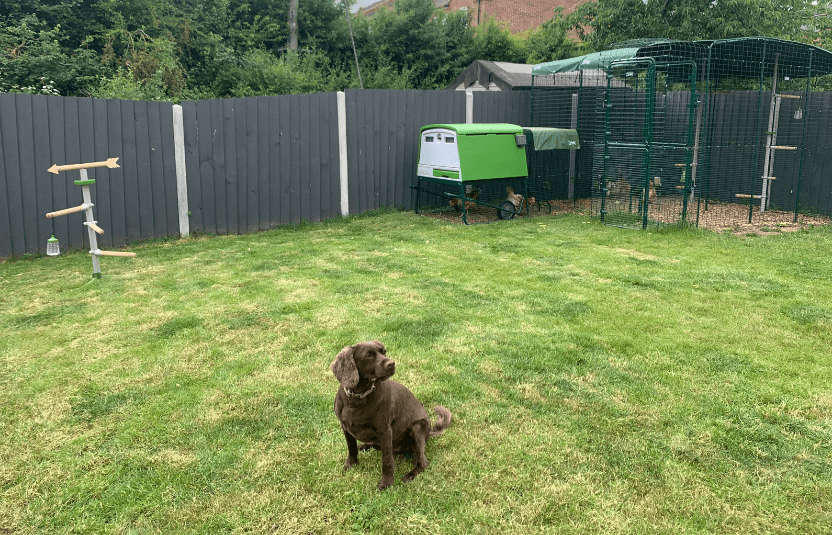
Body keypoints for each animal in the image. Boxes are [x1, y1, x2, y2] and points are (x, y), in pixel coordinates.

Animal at [330, 342, 452, 492]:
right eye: (369, 355)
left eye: (384, 351)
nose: (391, 363)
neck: (358, 398)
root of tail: (429, 433)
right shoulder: (345, 427)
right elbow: (351, 448)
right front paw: (350, 464)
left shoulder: (385, 431)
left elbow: (387, 460)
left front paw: (387, 482)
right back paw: (364, 445)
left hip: (416, 428)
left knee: (422, 462)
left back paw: (410, 474)